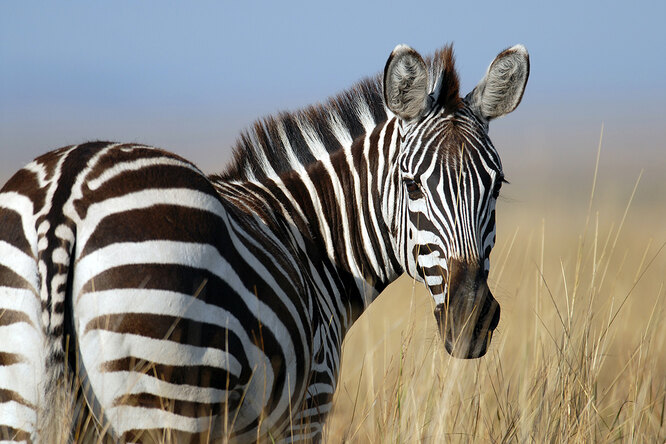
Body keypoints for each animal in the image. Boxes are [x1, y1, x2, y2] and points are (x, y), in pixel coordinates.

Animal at [1, 42, 528, 444]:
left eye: (496, 185)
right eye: (412, 185)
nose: (471, 319)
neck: (314, 241)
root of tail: (66, 193)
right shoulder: (306, 407)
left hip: (23, 396)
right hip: (163, 395)